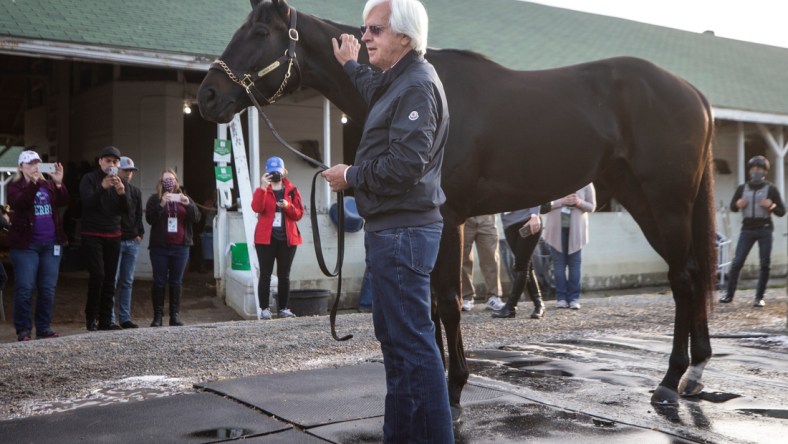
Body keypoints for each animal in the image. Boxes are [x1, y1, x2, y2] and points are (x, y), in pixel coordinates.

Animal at [195, 0, 716, 420]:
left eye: (260, 33)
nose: (208, 96)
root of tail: (692, 91)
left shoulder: (447, 220)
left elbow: (446, 302)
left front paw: (452, 390)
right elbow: (429, 304)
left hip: (665, 203)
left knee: (684, 277)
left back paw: (670, 382)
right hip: (643, 200)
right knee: (691, 273)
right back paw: (695, 373)